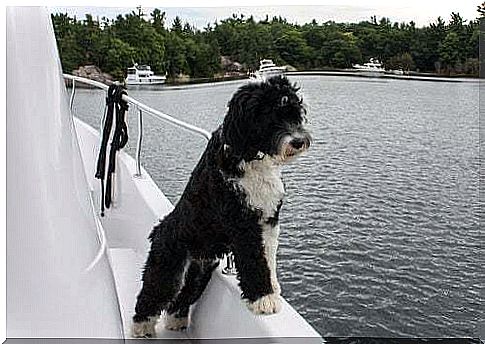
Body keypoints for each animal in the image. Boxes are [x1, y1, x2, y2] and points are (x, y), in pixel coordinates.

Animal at [130, 76, 310, 338]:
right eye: (270, 116)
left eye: (293, 112)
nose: (298, 141)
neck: (249, 155)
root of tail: (159, 229)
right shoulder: (242, 224)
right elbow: (254, 260)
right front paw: (263, 299)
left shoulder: (268, 218)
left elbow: (268, 255)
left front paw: (273, 288)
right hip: (167, 267)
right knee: (152, 294)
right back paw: (141, 328)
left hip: (198, 271)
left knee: (180, 299)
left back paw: (177, 321)